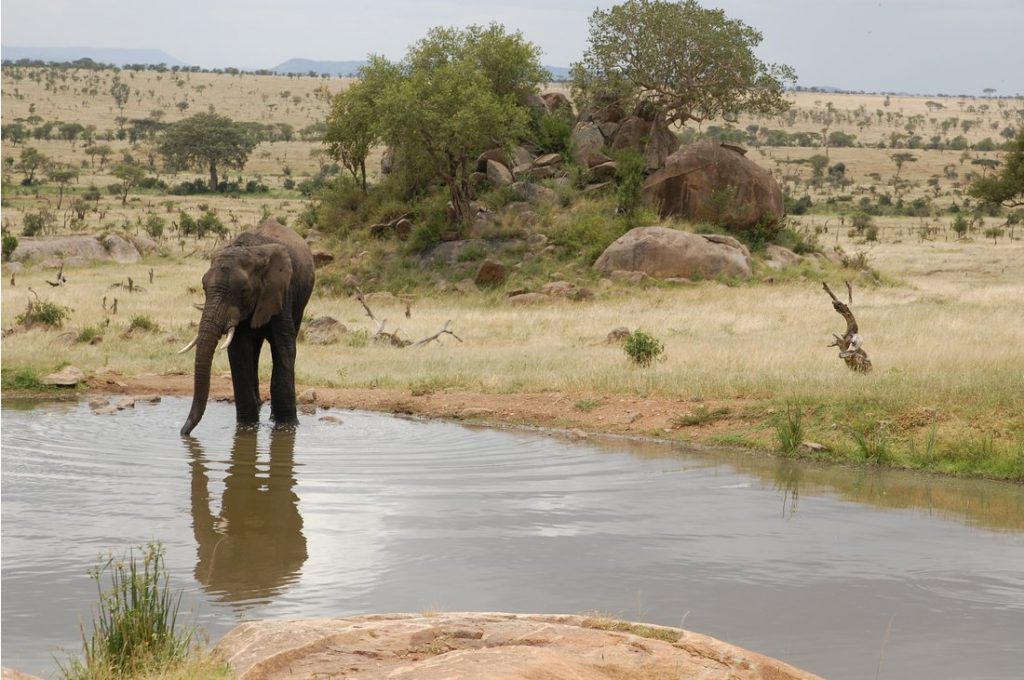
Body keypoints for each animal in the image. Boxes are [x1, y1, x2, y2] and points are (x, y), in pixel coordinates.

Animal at [180, 220, 313, 438]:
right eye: (204, 288)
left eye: (243, 291)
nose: (184, 432)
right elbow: (239, 352)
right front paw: (246, 425)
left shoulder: (281, 291)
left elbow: (283, 349)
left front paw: (287, 426)